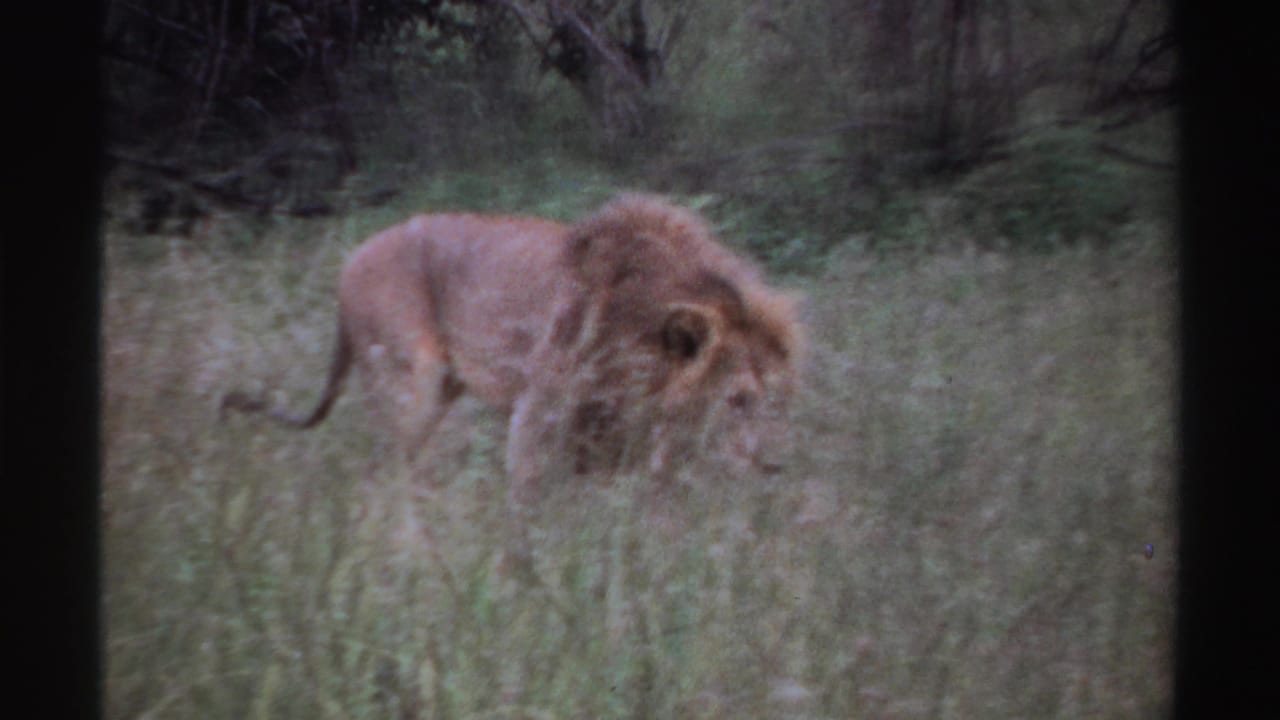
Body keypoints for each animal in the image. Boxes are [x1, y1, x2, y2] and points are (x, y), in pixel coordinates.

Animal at [222, 194, 805, 512]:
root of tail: (349, 260)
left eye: (779, 400)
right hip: (410, 380)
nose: (776, 463)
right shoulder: (540, 408)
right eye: (737, 400)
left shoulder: (609, 436)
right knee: (380, 471)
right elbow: (527, 498)